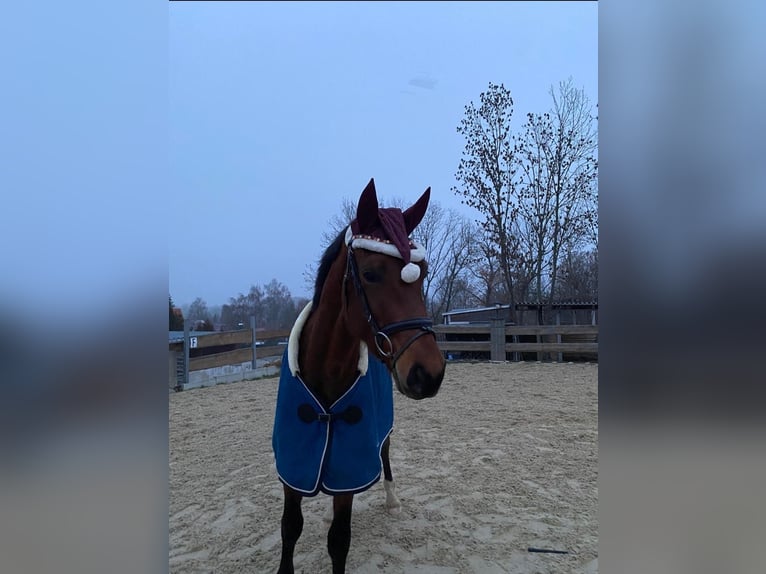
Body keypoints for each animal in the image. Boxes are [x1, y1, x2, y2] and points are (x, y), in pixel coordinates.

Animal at [271, 178, 446, 573]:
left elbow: (339, 540)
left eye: (423, 274)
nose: (429, 373)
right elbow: (290, 527)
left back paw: (393, 501)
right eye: (370, 274)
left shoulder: (349, 469)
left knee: (385, 454)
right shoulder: (293, 464)